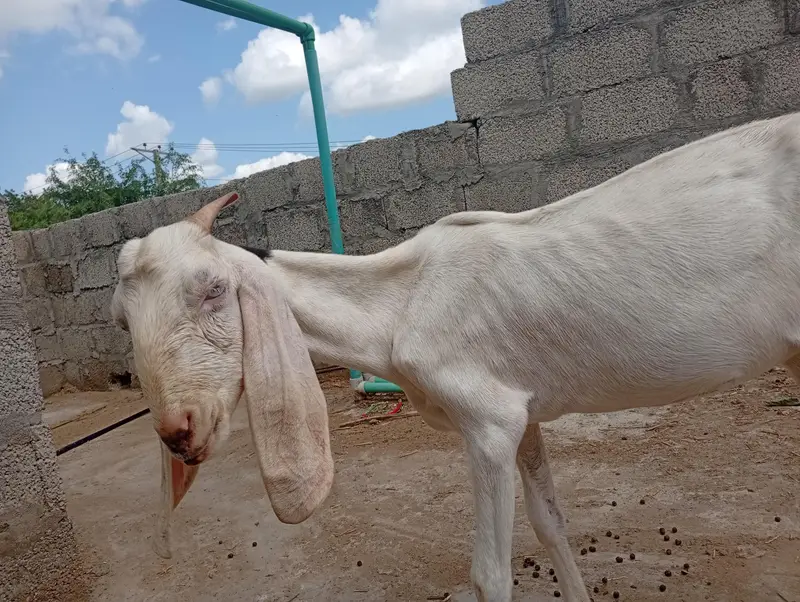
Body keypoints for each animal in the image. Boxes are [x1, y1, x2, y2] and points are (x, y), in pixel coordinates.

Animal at [111, 111, 800, 602]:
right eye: (121, 319)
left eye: (213, 289)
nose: (178, 431)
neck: (402, 303)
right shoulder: (523, 414)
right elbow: (552, 525)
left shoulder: (488, 424)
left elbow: (489, 576)